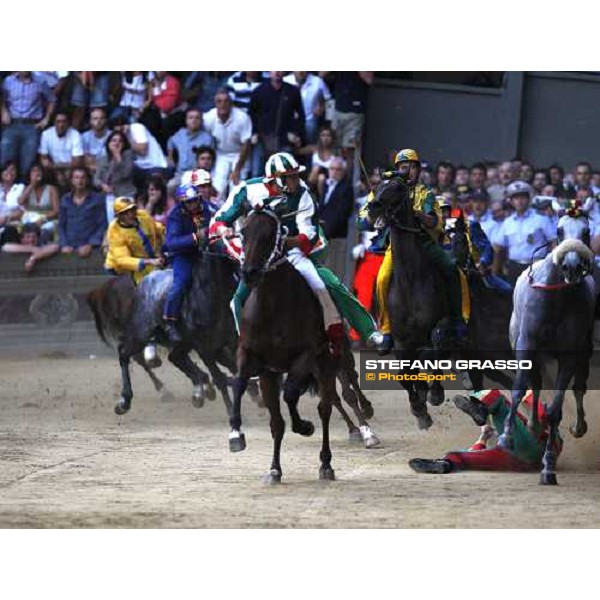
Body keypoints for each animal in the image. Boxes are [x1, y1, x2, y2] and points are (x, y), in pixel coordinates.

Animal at [496, 237, 596, 486]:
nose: (572, 268)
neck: (556, 301)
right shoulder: (526, 343)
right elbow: (519, 388)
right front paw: (506, 437)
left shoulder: (570, 354)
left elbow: (555, 410)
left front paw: (548, 466)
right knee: (536, 384)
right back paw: (532, 424)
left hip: (584, 351)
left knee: (579, 387)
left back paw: (578, 426)